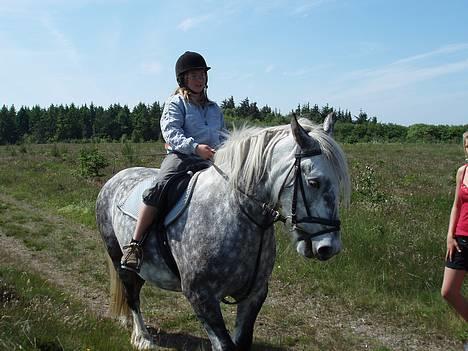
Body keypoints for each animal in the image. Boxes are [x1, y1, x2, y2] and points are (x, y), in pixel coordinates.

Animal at [96, 114, 352, 350]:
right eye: (314, 182)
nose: (329, 247)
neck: (234, 211)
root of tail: (114, 179)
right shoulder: (201, 297)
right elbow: (224, 344)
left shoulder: (255, 295)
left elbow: (242, 341)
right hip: (118, 257)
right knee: (132, 294)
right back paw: (143, 338)